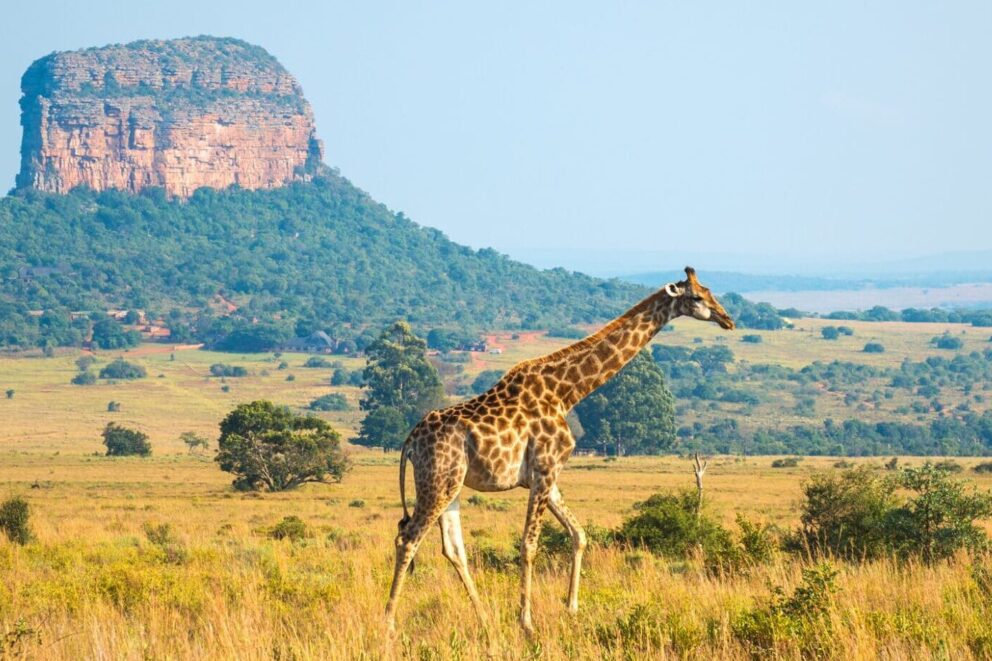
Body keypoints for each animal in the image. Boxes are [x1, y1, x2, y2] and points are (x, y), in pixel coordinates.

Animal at [384, 266, 735, 637]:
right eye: (696, 297)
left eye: (709, 291)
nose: (727, 319)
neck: (566, 393)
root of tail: (410, 440)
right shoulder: (544, 470)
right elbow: (529, 545)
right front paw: (526, 622)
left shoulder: (548, 476)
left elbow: (578, 534)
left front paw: (572, 608)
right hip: (438, 481)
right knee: (408, 539)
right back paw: (389, 623)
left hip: (451, 485)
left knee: (453, 549)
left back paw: (485, 620)